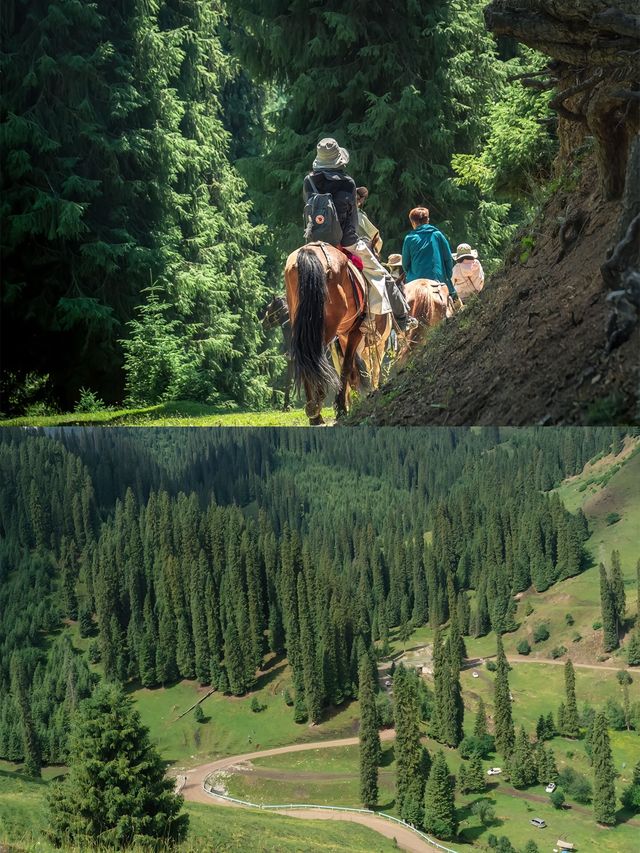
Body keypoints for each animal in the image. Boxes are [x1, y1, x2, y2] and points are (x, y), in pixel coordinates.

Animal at [284, 243, 364, 422]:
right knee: (315, 355)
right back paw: (317, 403)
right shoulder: (354, 332)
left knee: (304, 356)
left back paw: (313, 410)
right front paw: (341, 407)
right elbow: (346, 365)